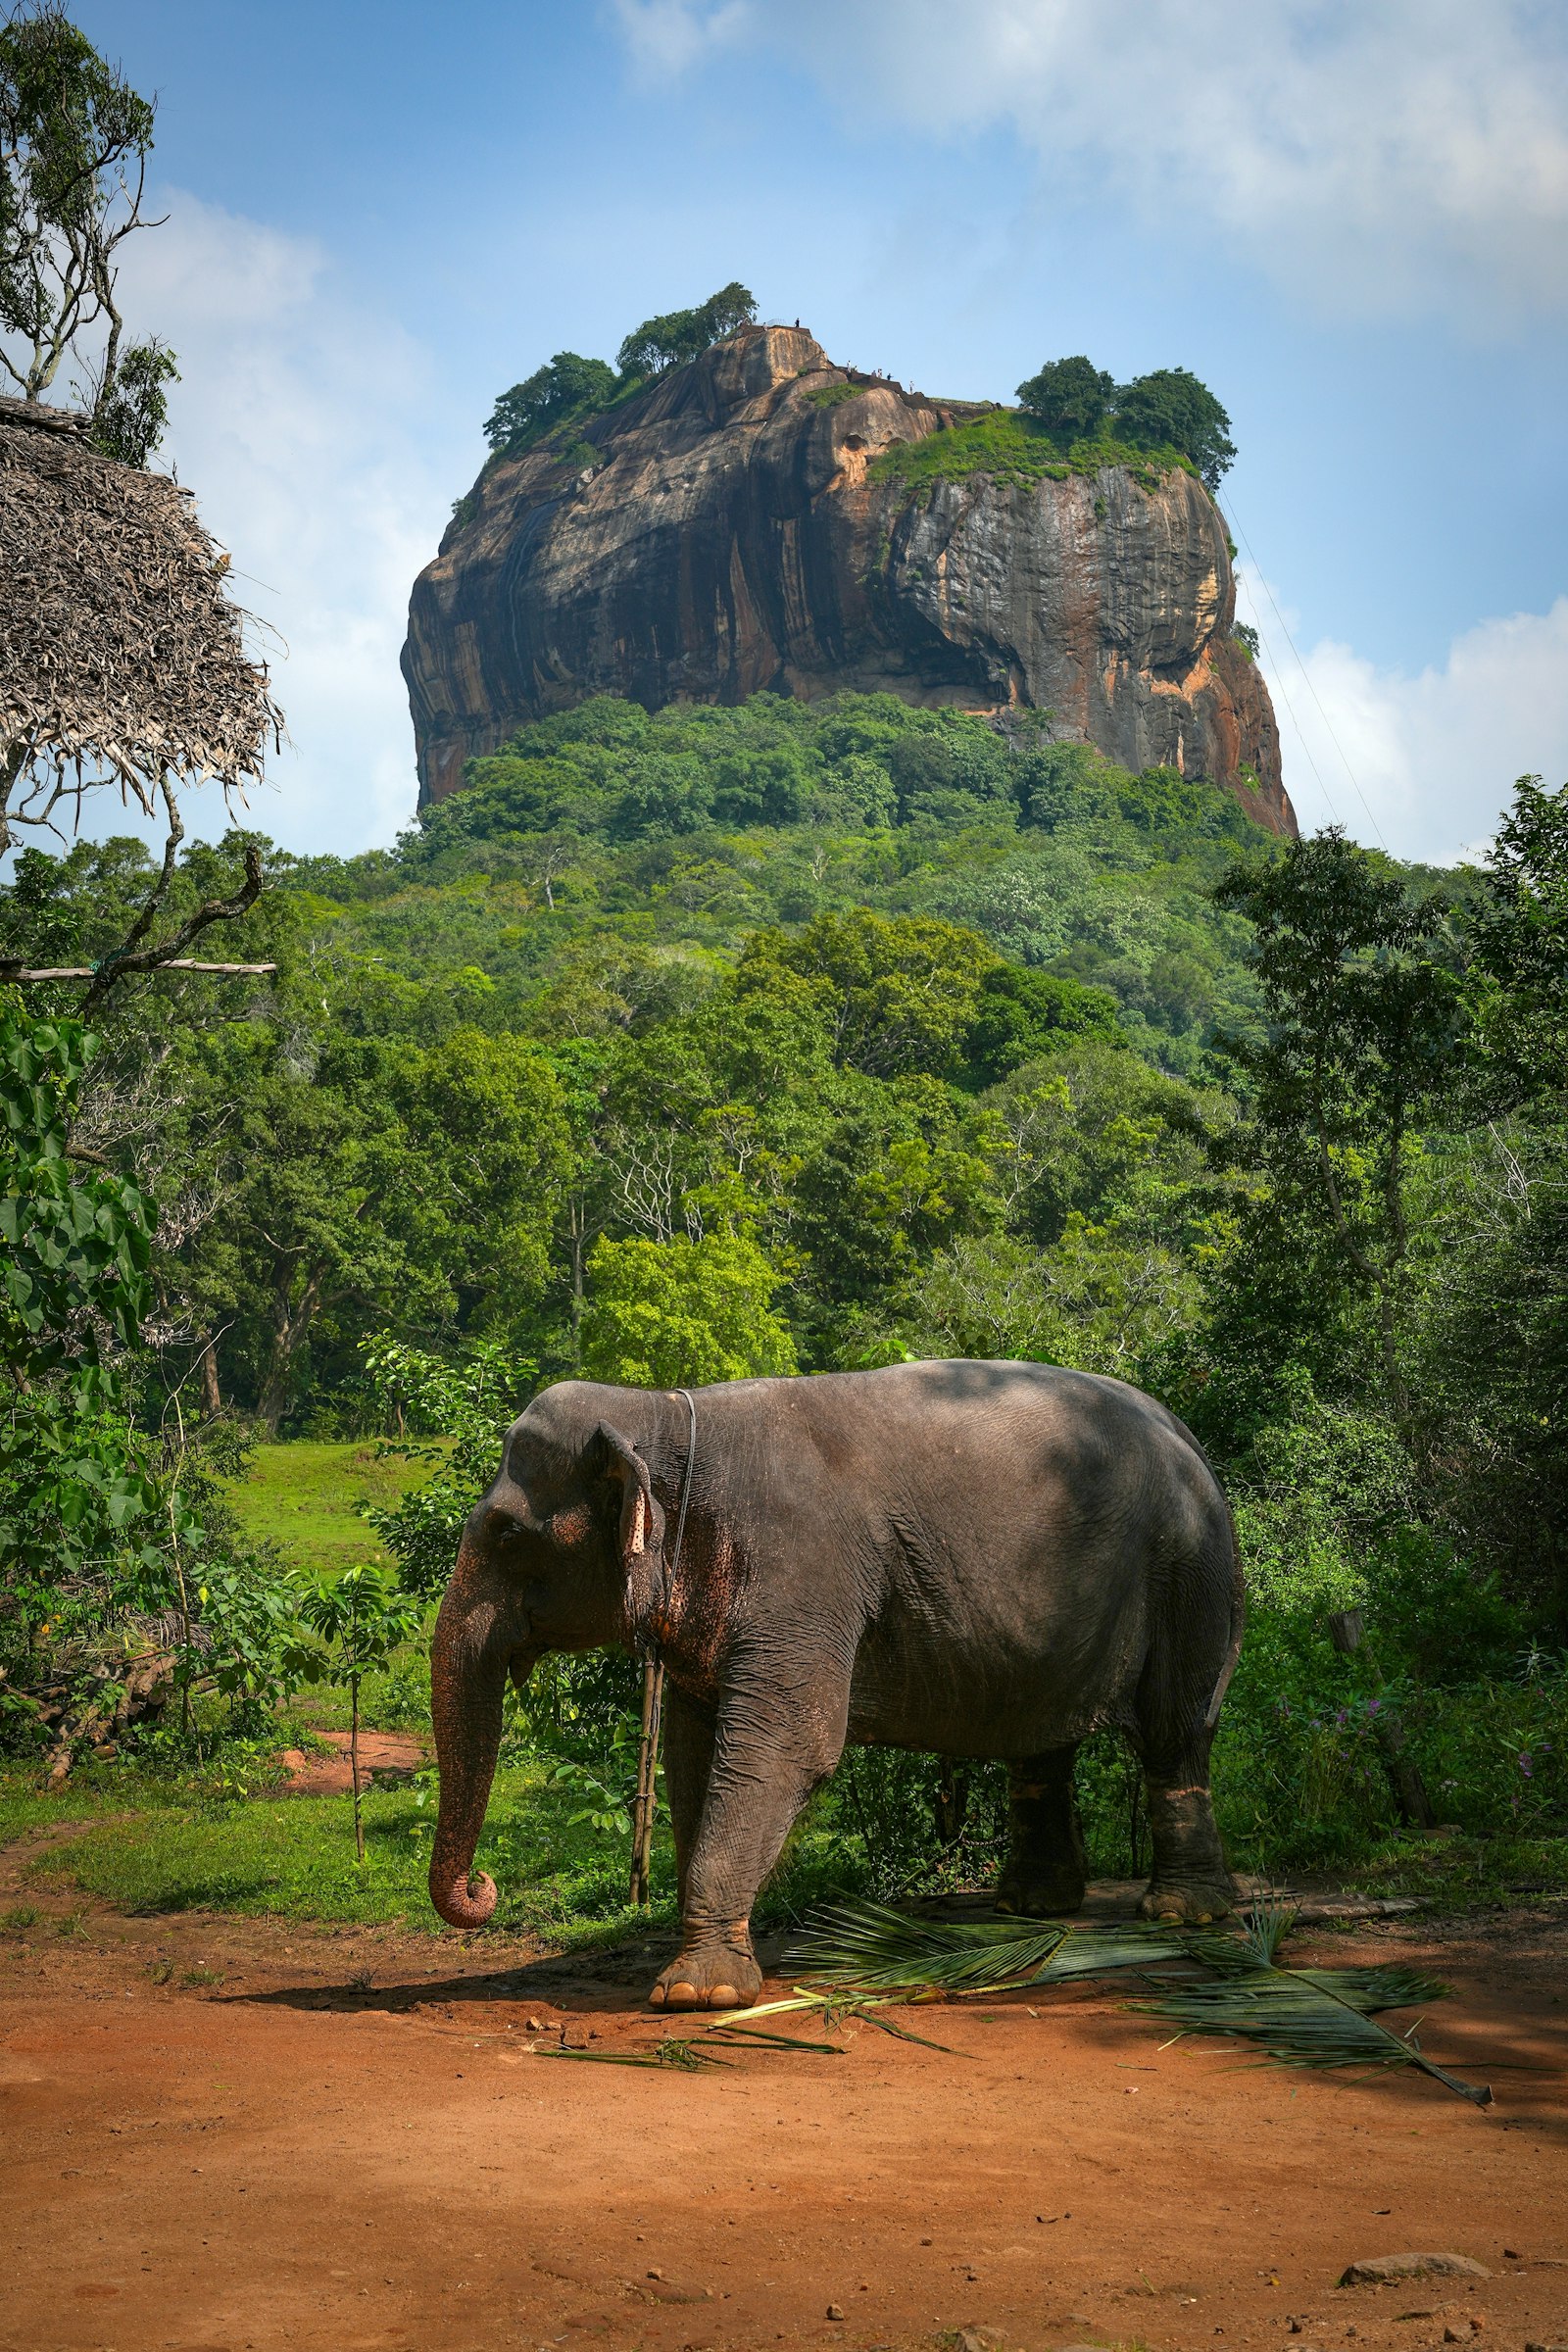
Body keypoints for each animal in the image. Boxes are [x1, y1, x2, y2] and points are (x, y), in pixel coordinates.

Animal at [427, 1358, 1244, 2009]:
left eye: (506, 1534)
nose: (484, 1888)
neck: (659, 1411)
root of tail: (1188, 1435)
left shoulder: (801, 1571)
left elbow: (789, 1748)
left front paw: (696, 1994)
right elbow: (692, 1759)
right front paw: (711, 1964)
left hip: (1190, 1571)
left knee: (1176, 1731)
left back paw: (1183, 1915)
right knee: (1042, 1745)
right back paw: (1030, 1909)